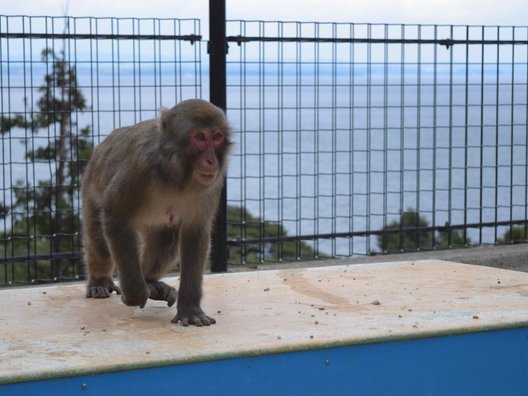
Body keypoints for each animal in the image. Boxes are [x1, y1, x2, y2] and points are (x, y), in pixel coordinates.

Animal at [81, 100, 231, 328]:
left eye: (216, 137)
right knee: (100, 242)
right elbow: (116, 217)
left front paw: (190, 310)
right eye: (199, 137)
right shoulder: (139, 169)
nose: (211, 161)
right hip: (91, 189)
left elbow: (195, 234)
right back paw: (101, 281)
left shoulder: (211, 185)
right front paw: (134, 294)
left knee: (167, 239)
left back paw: (150, 282)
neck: (177, 176)